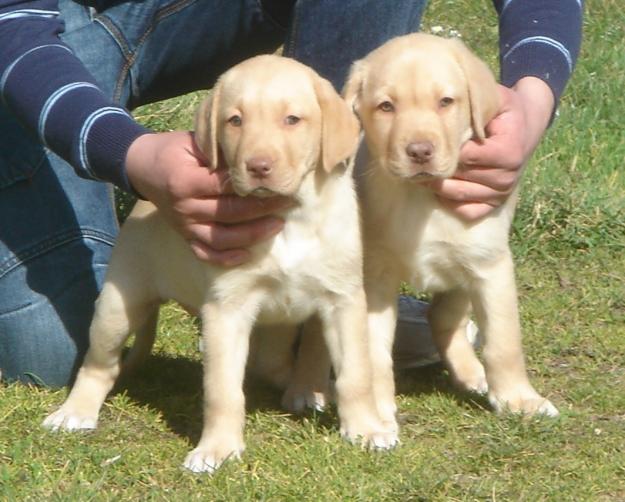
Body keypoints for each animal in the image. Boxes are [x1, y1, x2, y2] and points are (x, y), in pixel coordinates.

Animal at [42, 56, 394, 474]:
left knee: (274, 360)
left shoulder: (344, 299)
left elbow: (356, 374)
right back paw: (75, 412)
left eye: (292, 119)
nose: (258, 166)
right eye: (235, 120)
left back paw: (302, 389)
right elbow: (222, 390)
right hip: (118, 304)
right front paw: (218, 449)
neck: (289, 217)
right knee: (99, 363)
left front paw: (366, 429)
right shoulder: (226, 310)